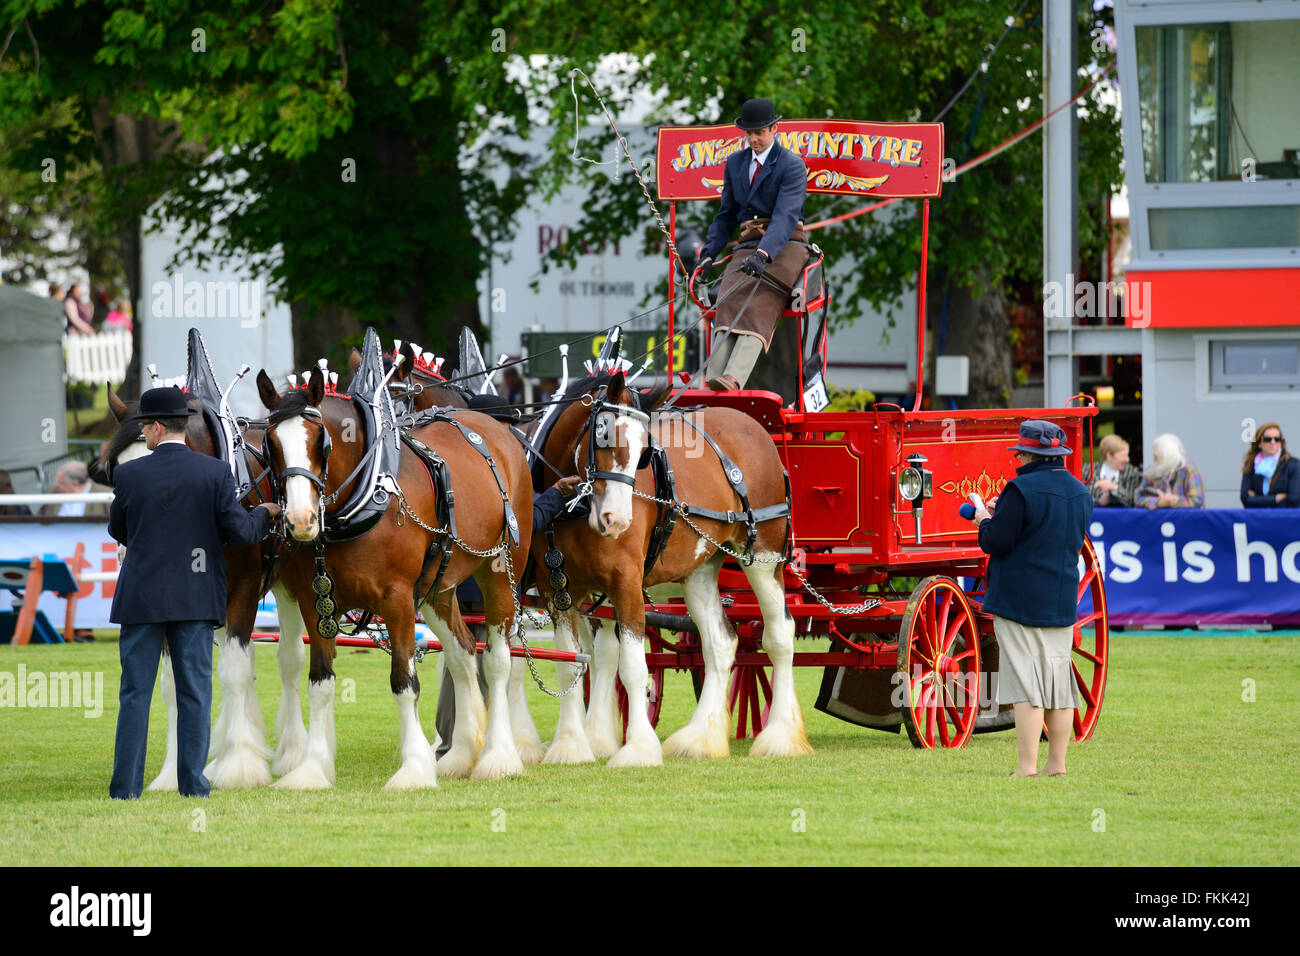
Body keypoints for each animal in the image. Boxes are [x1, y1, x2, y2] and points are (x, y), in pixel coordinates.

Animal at [100, 390, 308, 790]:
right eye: (113, 469)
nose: (127, 549)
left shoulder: (244, 589)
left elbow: (234, 672)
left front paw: (240, 765)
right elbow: (173, 685)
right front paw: (172, 772)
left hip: (288, 585)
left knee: (288, 661)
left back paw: (291, 753)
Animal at [258, 364, 533, 785]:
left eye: (320, 441)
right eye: (271, 443)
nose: (300, 521)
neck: (362, 498)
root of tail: (500, 430)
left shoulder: (398, 600)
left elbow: (404, 683)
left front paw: (414, 769)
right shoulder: (315, 602)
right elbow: (320, 682)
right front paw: (311, 768)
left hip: (501, 569)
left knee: (498, 660)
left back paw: (498, 757)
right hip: (439, 586)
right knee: (463, 653)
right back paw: (461, 754)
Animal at [533, 369, 806, 764]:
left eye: (643, 452)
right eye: (602, 434)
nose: (617, 520)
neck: (575, 509)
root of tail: (755, 428)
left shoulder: (626, 583)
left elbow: (633, 668)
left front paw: (637, 749)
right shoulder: (559, 591)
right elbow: (571, 664)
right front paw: (571, 746)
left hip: (764, 556)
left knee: (780, 634)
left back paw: (780, 736)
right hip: (699, 570)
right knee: (720, 642)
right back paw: (701, 737)